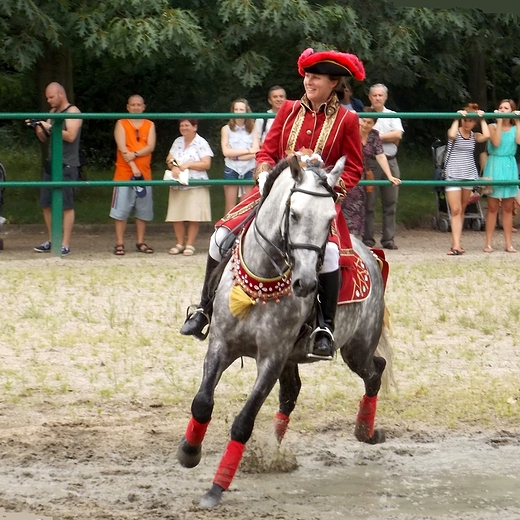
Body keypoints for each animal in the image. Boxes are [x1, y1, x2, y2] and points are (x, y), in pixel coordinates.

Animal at [176, 154, 394, 508]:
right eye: (294, 213)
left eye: (330, 218)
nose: (305, 282)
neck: (263, 278)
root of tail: (373, 257)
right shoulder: (221, 345)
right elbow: (202, 403)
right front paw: (189, 452)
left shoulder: (272, 358)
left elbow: (244, 422)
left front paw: (216, 488)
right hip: (298, 356)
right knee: (291, 393)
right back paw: (271, 450)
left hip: (355, 349)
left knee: (375, 371)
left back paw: (365, 430)